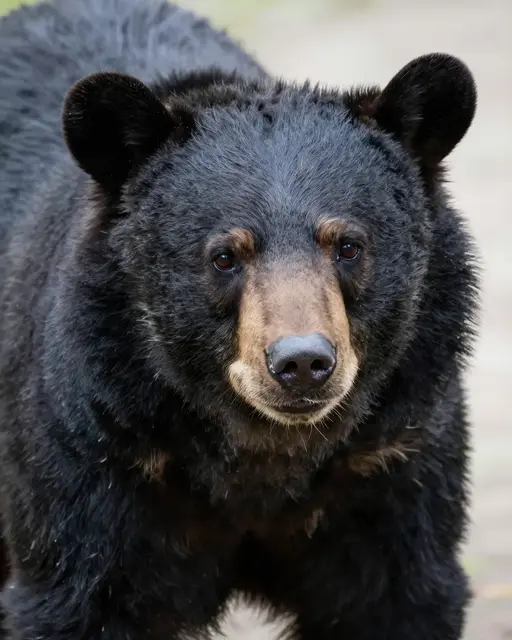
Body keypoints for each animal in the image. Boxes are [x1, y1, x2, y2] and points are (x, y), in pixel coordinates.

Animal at [0, 0, 479, 638]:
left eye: (348, 246)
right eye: (225, 255)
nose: (302, 363)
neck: (260, 455)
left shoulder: (395, 453)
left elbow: (398, 591)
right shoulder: (93, 446)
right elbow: (77, 593)